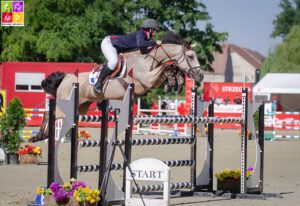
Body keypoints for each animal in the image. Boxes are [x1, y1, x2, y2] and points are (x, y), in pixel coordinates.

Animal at [28, 32, 204, 142]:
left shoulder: (151, 82)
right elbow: (164, 68)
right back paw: (37, 137)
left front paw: (176, 81)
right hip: (67, 104)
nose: (201, 76)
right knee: (48, 113)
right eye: (190, 56)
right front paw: (174, 80)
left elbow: (167, 69)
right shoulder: (146, 81)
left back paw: (42, 136)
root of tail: (66, 77)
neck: (148, 59)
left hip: (80, 108)